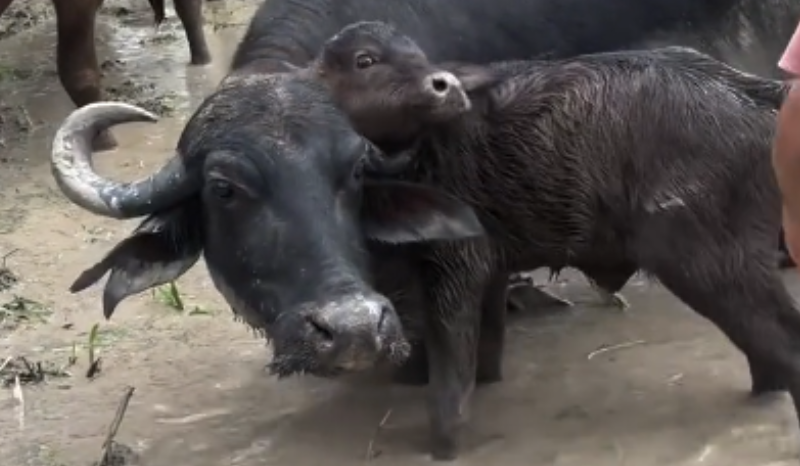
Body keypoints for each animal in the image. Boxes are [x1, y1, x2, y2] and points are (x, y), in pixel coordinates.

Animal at [48, 0, 800, 460]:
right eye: (226, 190)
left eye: (353, 174)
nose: (351, 328)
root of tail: (749, 97)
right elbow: (473, 356)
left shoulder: (457, 267)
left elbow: (450, 376)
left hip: (709, 258)